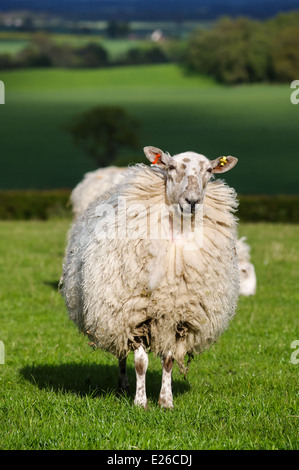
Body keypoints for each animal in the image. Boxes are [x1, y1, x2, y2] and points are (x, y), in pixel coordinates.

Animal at [61, 147, 241, 408]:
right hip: (114, 313)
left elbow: (168, 360)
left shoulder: (178, 317)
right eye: (171, 167)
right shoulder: (135, 315)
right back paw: (123, 386)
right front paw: (140, 402)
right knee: (121, 352)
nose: (192, 201)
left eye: (209, 170)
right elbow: (140, 363)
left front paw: (166, 402)